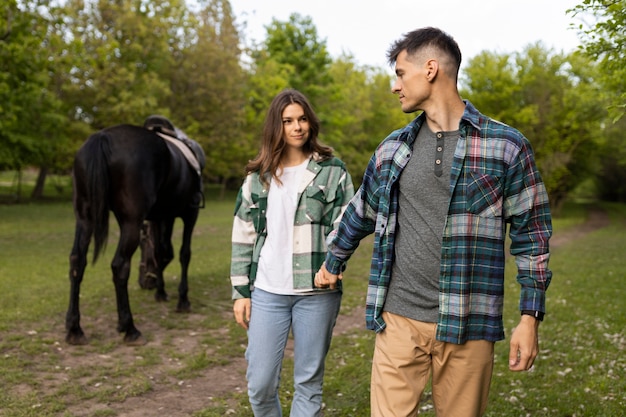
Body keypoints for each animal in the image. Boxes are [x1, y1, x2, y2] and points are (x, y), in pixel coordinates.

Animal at [68, 114, 205, 344]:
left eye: (143, 248)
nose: (144, 282)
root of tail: (102, 137)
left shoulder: (161, 217)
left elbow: (161, 252)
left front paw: (160, 291)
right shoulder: (189, 214)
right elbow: (183, 254)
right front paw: (183, 299)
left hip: (85, 218)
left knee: (77, 262)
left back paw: (74, 329)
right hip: (131, 222)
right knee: (120, 266)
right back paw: (129, 327)